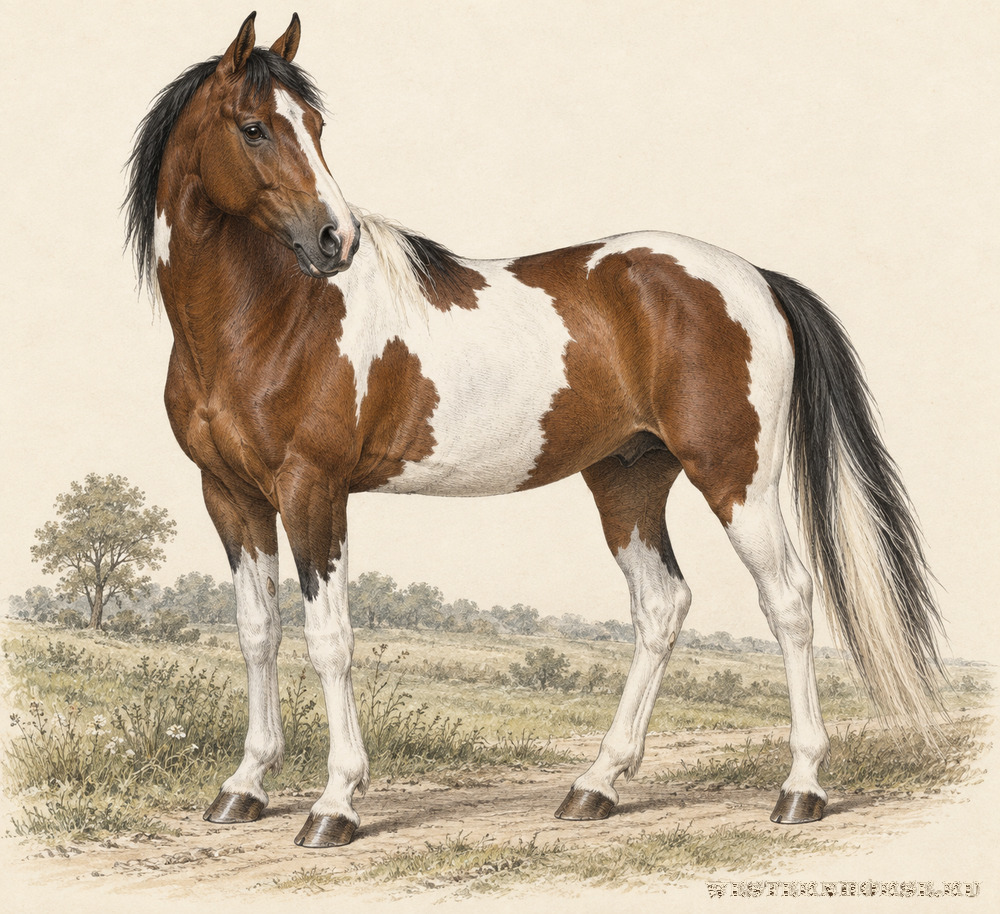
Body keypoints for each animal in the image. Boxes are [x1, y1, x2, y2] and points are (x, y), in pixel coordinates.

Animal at [124, 13, 944, 848]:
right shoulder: (230, 495)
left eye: (316, 125)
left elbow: (330, 640)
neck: (267, 319)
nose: (335, 241)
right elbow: (257, 630)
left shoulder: (312, 490)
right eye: (254, 127)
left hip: (736, 478)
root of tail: (756, 279)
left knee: (788, 601)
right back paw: (596, 785)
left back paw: (801, 788)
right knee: (662, 607)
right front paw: (245, 786)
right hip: (628, 479)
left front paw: (336, 804)